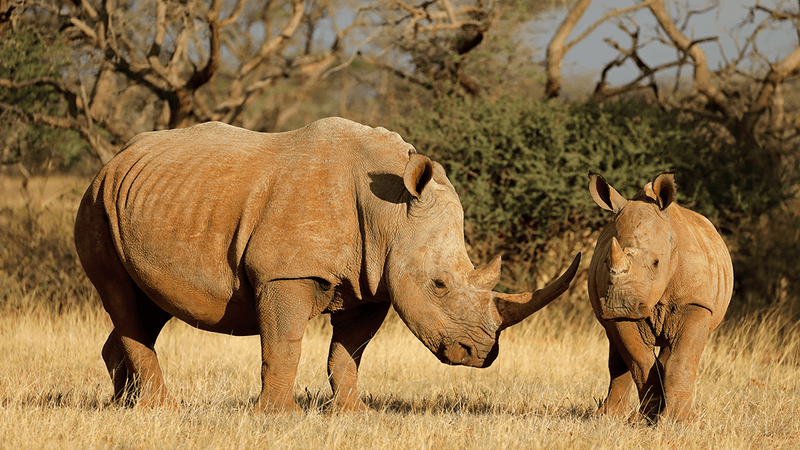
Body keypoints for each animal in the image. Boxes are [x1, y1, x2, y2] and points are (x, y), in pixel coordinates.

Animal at [74, 117, 580, 413]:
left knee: (148, 307)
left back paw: (124, 406)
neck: (391, 212)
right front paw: (278, 417)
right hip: (96, 200)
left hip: (145, 201)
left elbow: (349, 352)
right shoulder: (285, 272)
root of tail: (115, 158)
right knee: (122, 297)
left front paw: (353, 415)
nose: (480, 355)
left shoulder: (373, 282)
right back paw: (160, 409)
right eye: (438, 284)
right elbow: (284, 345)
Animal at [587, 173, 733, 423]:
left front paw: (680, 421)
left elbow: (682, 360)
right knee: (618, 353)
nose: (620, 306)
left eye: (656, 263)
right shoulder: (624, 312)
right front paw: (644, 420)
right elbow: (640, 361)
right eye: (606, 262)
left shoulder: (696, 304)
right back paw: (608, 417)